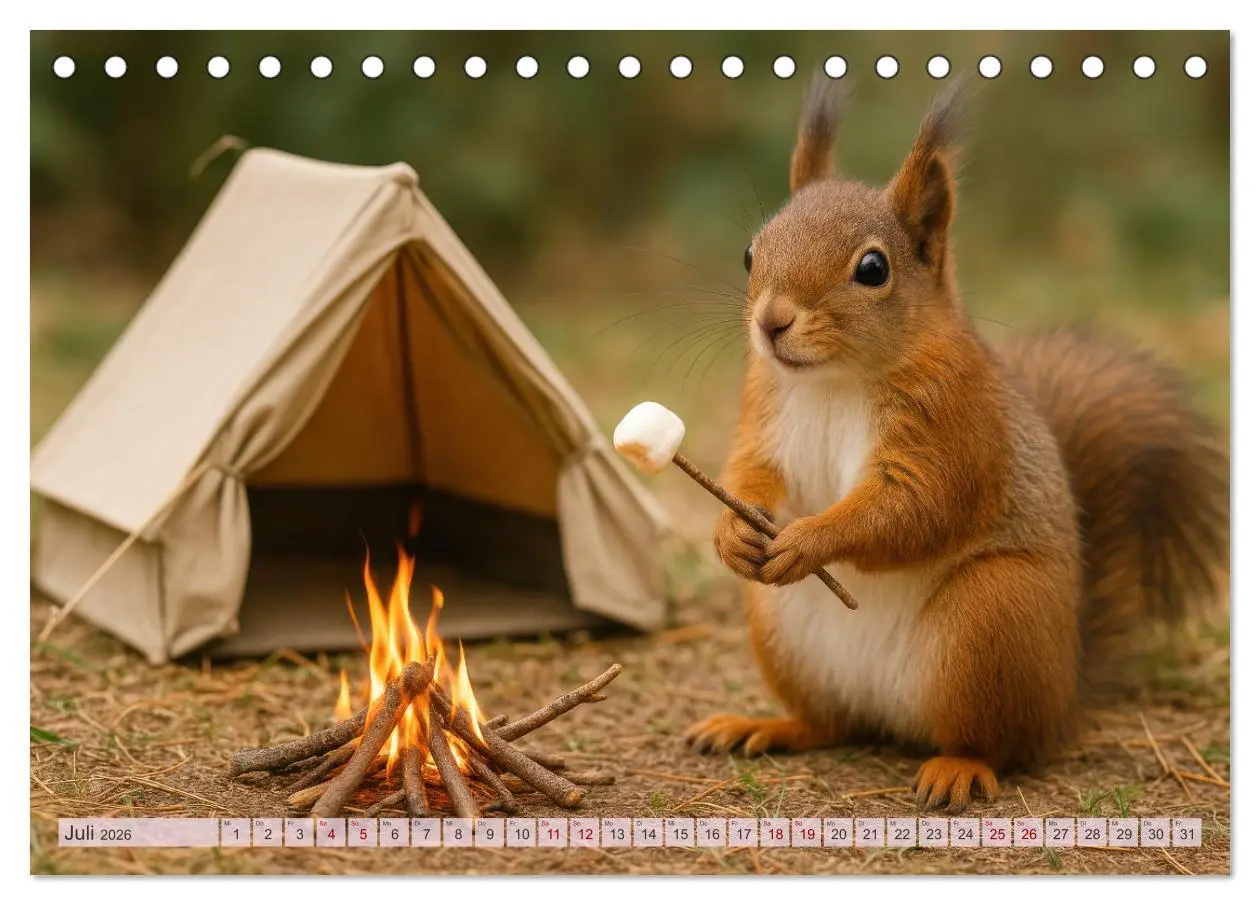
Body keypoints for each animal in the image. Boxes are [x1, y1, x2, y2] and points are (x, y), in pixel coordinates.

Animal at [686, 76, 1229, 814]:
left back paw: (958, 767)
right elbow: (751, 470)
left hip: (990, 617)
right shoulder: (763, 409)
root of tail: (1065, 693)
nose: (771, 322)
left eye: (873, 268)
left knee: (996, 740)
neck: (834, 379)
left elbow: (915, 507)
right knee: (832, 722)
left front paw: (809, 539)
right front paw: (731, 534)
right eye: (750, 251)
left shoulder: (953, 424)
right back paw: (765, 725)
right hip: (781, 629)